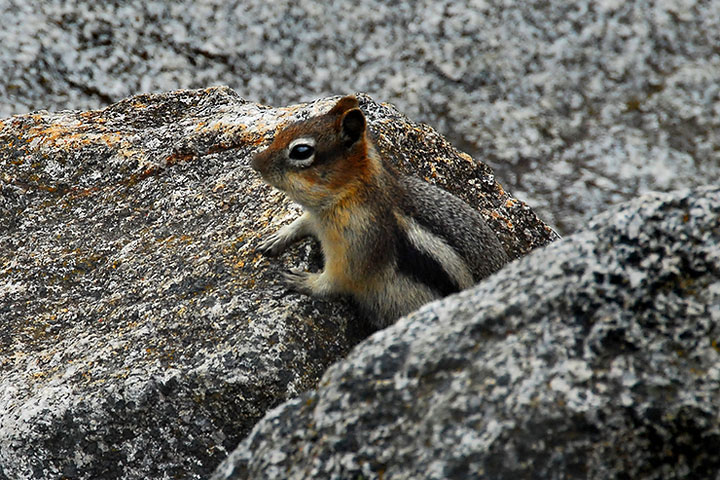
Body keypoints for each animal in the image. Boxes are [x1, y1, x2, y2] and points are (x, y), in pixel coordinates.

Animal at [250, 95, 510, 328]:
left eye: (301, 151)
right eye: (287, 128)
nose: (255, 163)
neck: (347, 195)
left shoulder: (358, 248)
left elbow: (335, 282)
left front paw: (304, 280)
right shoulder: (318, 218)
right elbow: (302, 222)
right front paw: (278, 236)